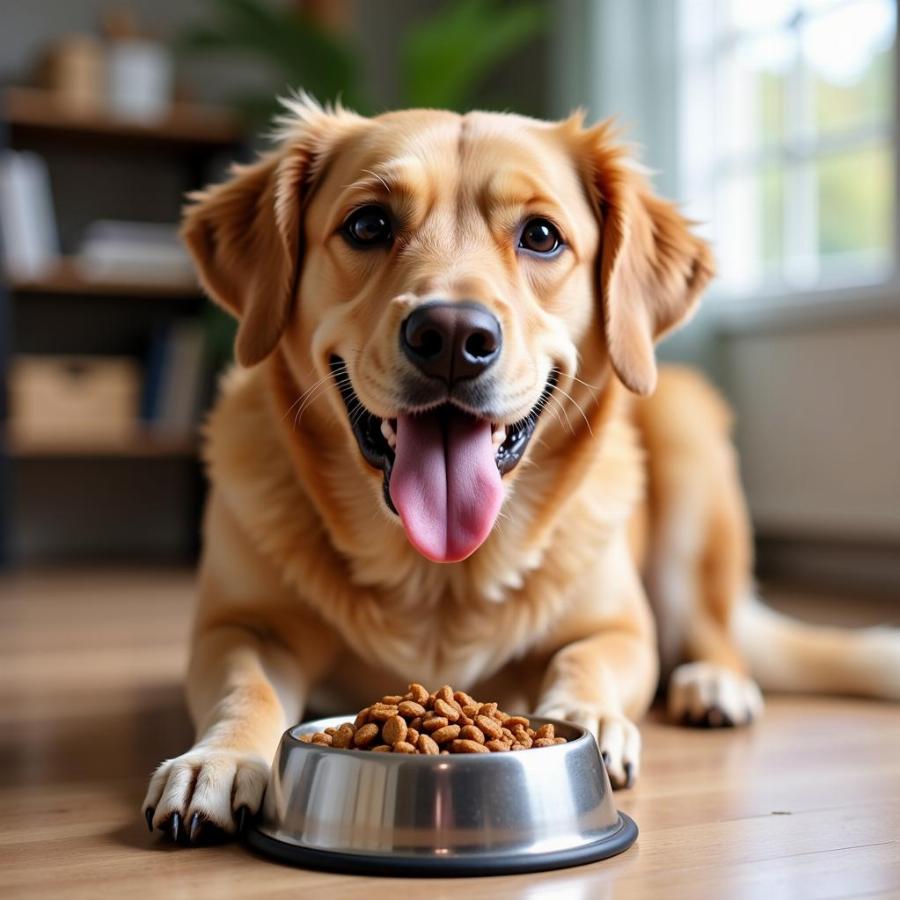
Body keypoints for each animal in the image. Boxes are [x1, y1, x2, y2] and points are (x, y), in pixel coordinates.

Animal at [141, 98, 900, 844]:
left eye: (541, 236)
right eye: (368, 224)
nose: (451, 337)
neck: (437, 580)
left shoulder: (620, 629)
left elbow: (584, 659)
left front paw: (589, 718)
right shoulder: (241, 627)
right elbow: (246, 688)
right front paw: (217, 759)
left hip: (688, 437)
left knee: (712, 628)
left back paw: (714, 683)